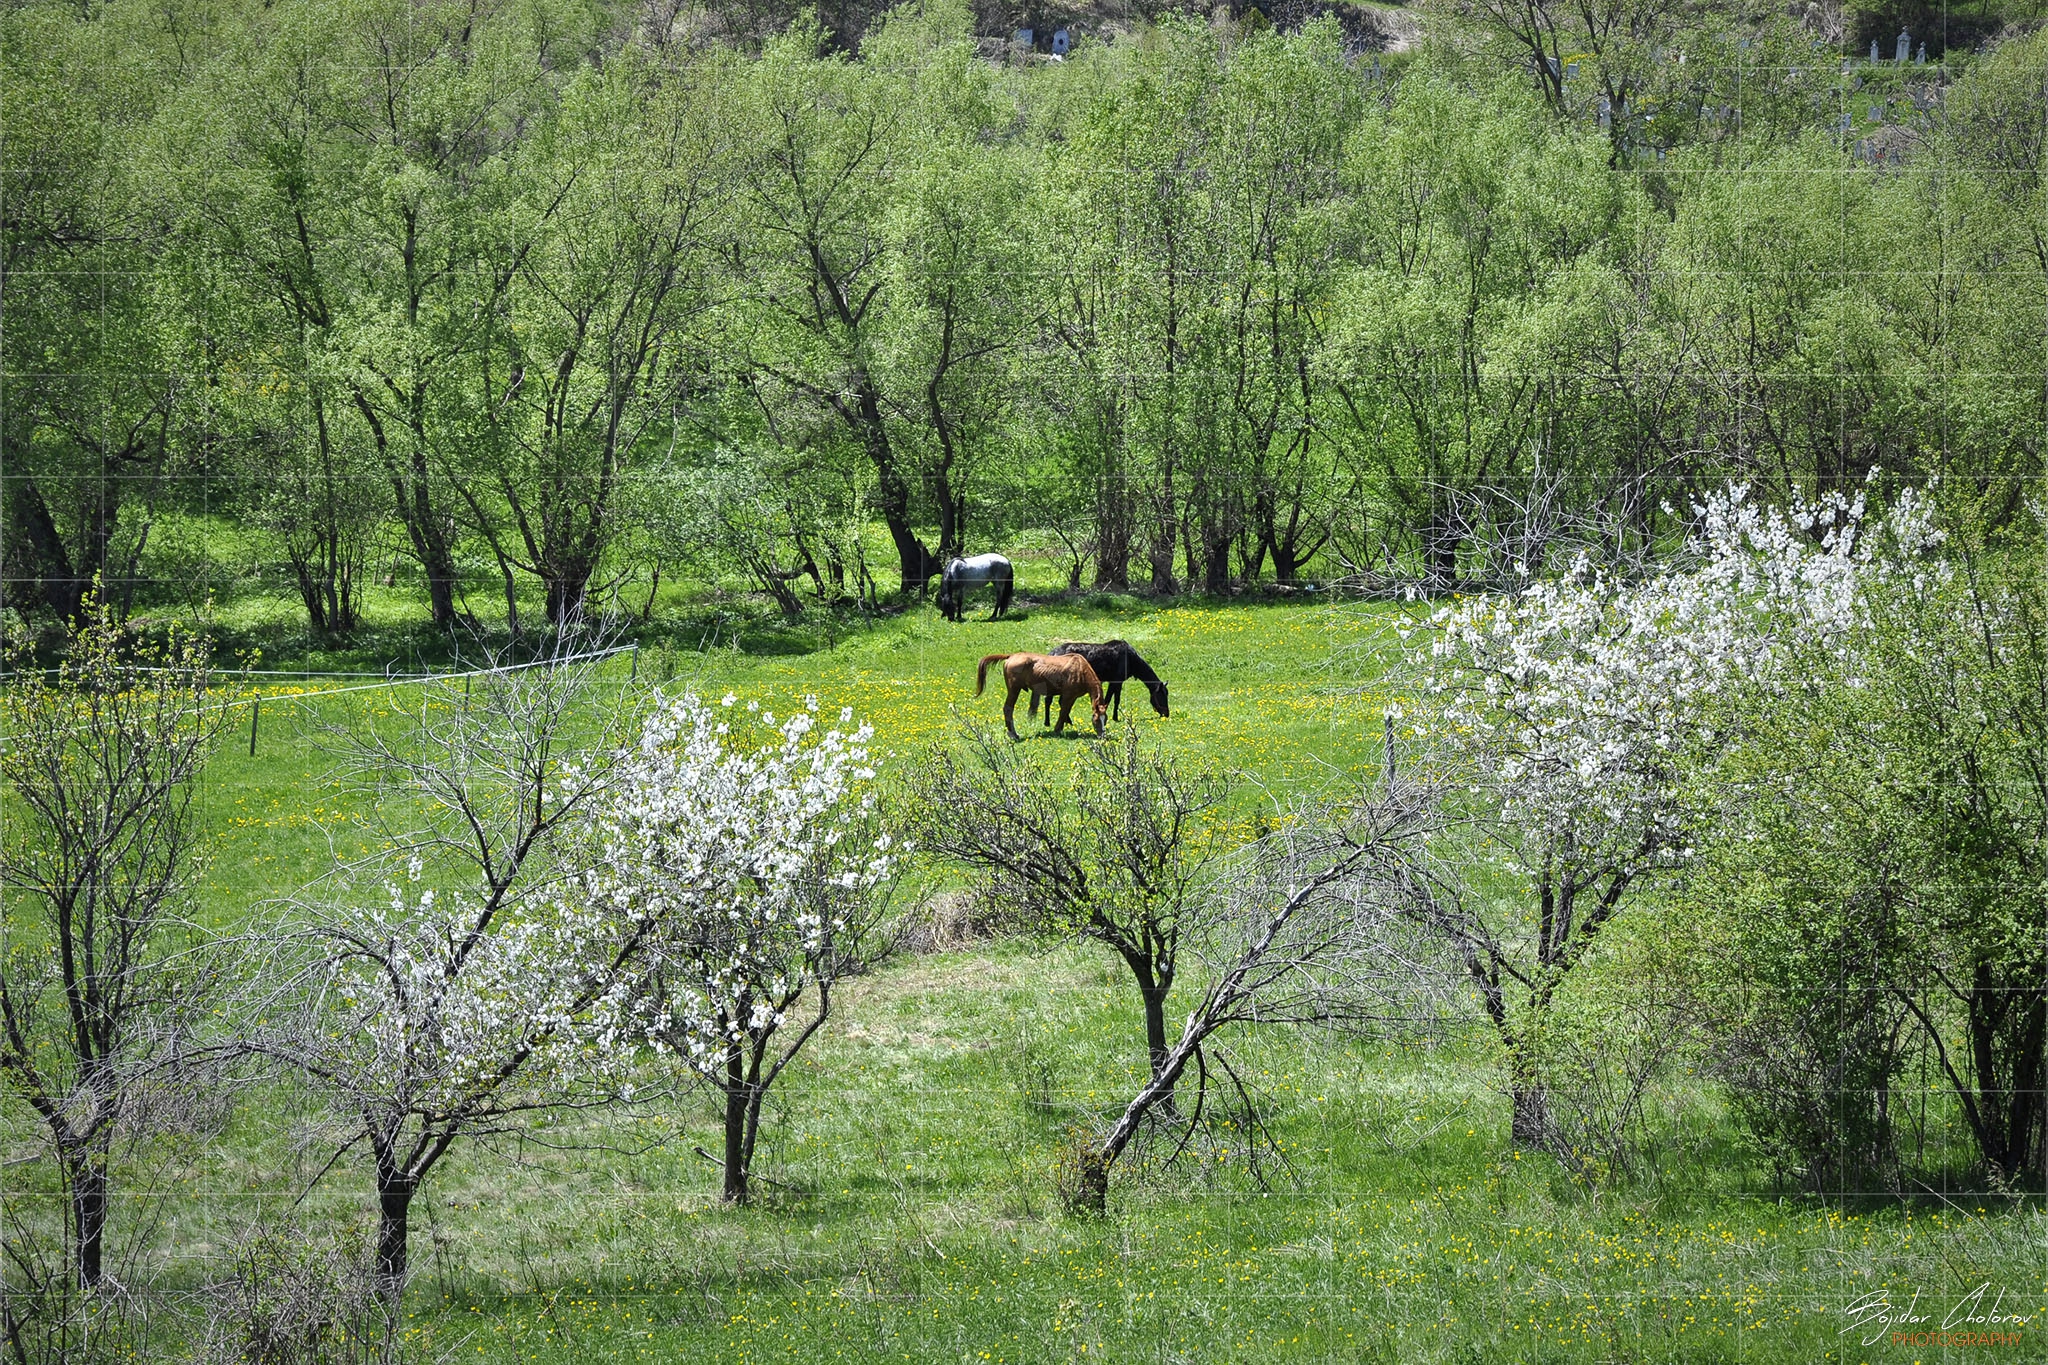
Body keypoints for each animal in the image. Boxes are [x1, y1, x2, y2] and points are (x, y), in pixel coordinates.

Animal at [974, 654, 1105, 740]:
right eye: (1096, 719)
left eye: (1106, 719)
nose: (1102, 735)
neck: (1080, 669)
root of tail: (1011, 656)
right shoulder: (1068, 695)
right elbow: (1063, 711)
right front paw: (1057, 730)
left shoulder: (1072, 697)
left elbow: (1066, 711)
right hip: (1014, 689)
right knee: (1008, 708)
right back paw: (1013, 734)